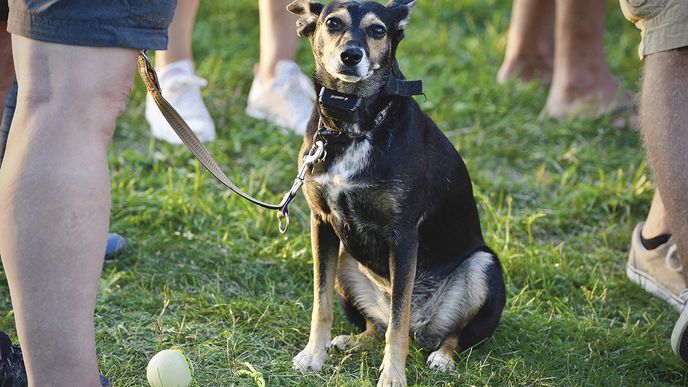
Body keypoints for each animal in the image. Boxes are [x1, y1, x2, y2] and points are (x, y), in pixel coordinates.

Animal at [288, 1, 508, 386]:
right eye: (332, 23)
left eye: (378, 30)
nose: (350, 55)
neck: (353, 127)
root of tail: (425, 328)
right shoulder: (323, 224)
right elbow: (321, 302)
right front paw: (313, 354)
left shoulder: (403, 236)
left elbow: (398, 321)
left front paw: (393, 376)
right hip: (345, 257)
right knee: (376, 325)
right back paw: (352, 341)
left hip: (485, 267)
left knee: (447, 333)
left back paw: (442, 356)